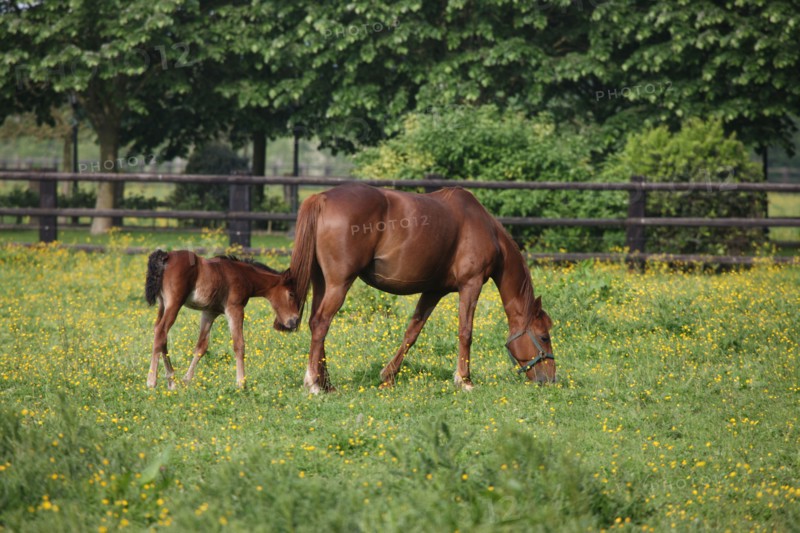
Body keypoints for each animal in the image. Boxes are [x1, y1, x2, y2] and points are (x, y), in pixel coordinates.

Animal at [144, 250, 299, 390]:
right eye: (291, 294)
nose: (294, 321)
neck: (243, 275)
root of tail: (166, 256)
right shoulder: (235, 309)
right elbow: (239, 345)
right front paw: (241, 383)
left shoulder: (209, 312)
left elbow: (201, 346)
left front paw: (186, 380)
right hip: (174, 303)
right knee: (161, 331)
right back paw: (152, 381)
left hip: (163, 305)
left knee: (160, 334)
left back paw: (172, 381)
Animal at [289, 183, 555, 393]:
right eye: (544, 336)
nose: (550, 379)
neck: (484, 227)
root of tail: (322, 198)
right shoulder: (471, 284)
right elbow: (465, 332)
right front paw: (465, 380)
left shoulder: (434, 291)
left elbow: (412, 332)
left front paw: (388, 376)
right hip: (339, 283)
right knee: (321, 323)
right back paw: (314, 383)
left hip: (322, 282)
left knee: (316, 323)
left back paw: (326, 383)